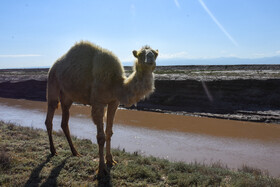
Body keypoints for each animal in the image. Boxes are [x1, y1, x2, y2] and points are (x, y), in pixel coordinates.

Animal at [44, 41, 158, 177]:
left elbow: (109, 132)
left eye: (156, 53)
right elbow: (100, 137)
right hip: (52, 84)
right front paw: (102, 168)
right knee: (49, 117)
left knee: (64, 123)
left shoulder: (114, 102)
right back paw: (53, 151)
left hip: (67, 97)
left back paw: (75, 152)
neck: (115, 83)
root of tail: (53, 67)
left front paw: (110, 160)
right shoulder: (98, 103)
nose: (150, 58)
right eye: (140, 54)